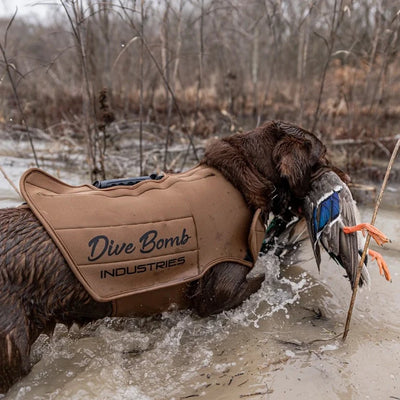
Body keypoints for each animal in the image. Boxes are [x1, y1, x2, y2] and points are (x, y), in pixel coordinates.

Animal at [0, 120, 328, 392]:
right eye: (323, 157)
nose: (336, 176)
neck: (243, 179)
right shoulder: (217, 290)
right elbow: (253, 282)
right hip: (11, 341)